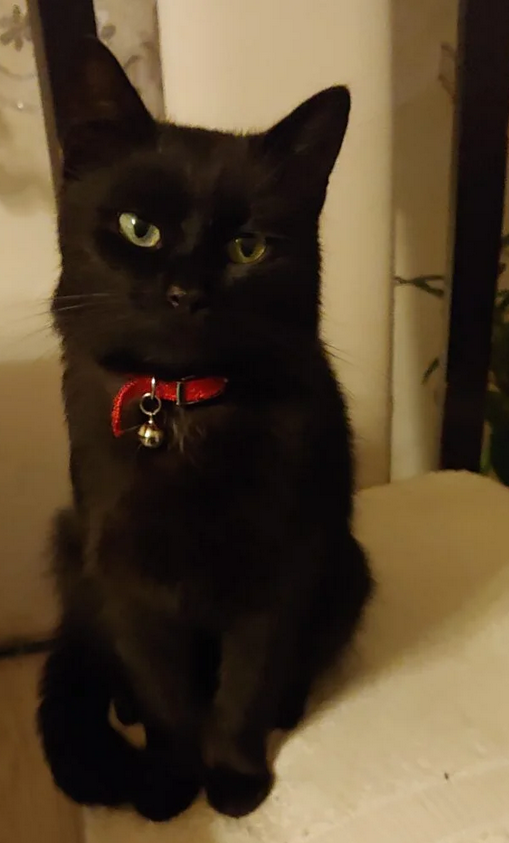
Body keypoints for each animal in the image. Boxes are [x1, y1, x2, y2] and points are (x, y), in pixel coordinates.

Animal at [37, 36, 373, 823]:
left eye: (248, 247)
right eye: (139, 228)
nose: (185, 293)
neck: (183, 410)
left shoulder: (279, 567)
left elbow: (244, 686)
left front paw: (234, 779)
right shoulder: (127, 578)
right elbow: (166, 696)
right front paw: (168, 783)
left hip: (346, 564)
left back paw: (290, 704)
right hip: (71, 552)